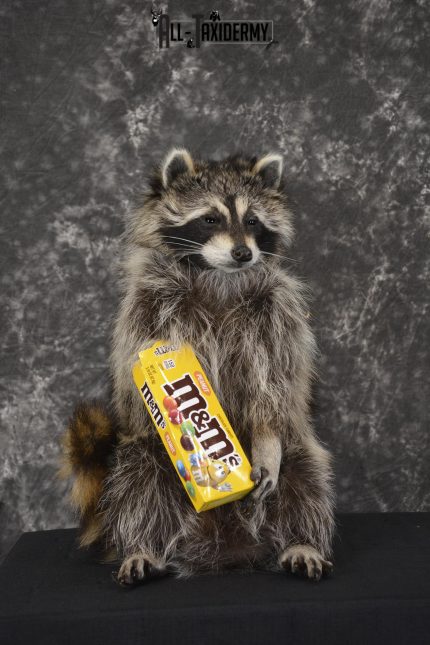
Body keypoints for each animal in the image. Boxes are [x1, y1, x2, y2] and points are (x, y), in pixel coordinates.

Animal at [61, 148, 335, 584]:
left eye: (252, 221)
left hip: (296, 454)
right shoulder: (148, 307)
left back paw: (301, 540)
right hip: (143, 461)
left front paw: (266, 442)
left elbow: (272, 385)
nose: (243, 253)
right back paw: (144, 547)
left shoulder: (277, 314)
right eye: (210, 219)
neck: (219, 275)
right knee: (138, 481)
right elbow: (136, 373)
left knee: (305, 476)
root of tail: (225, 551)